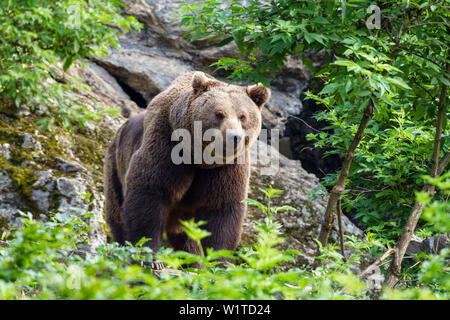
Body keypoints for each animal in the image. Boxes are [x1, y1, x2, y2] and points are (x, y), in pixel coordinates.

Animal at [103, 71, 268, 256]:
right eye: (219, 114)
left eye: (243, 116)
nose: (234, 137)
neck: (199, 158)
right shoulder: (167, 144)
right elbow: (149, 193)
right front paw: (145, 248)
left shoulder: (226, 169)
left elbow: (222, 211)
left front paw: (216, 257)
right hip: (115, 165)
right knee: (117, 212)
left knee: (187, 238)